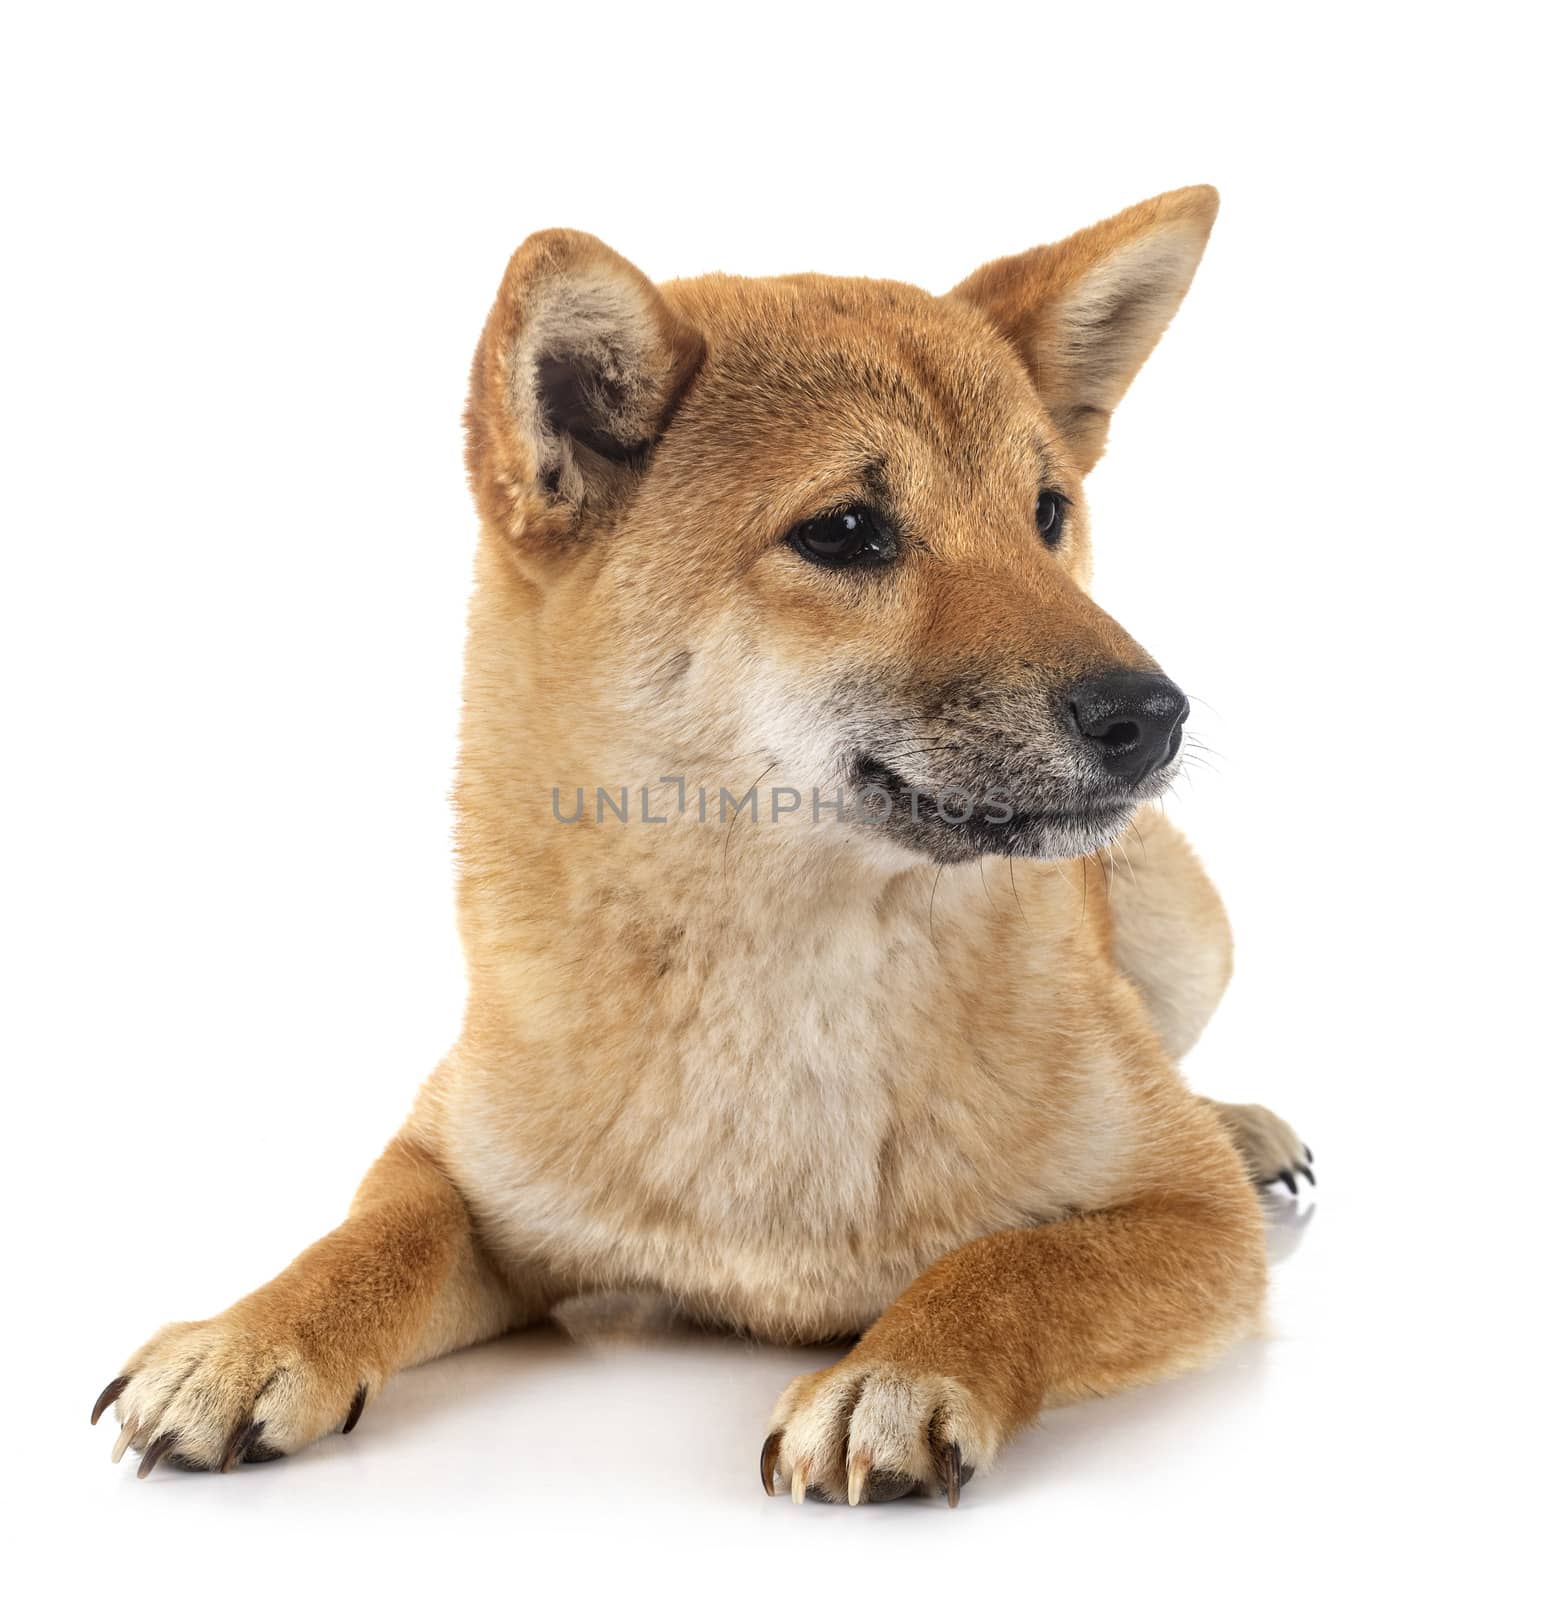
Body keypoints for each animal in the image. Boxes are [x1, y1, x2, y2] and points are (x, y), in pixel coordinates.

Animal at [91, 187, 1305, 1497]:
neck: (784, 989)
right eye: (846, 530)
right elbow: (375, 1231)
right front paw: (247, 1336)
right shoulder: (461, 1169)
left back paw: (1238, 1121)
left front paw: (903, 1368)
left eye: (1047, 515)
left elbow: (1014, 1263)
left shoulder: (1197, 1221)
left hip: (1181, 917)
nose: (1153, 713)